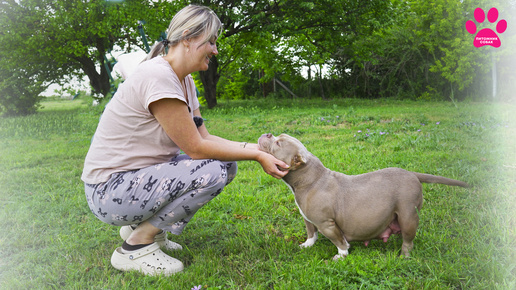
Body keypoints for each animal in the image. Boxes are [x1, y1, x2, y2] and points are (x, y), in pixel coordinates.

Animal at [256, 134, 468, 260]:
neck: (310, 177)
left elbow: (339, 241)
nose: (268, 134)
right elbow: (311, 232)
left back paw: (403, 256)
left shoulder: (327, 224)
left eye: (278, 143)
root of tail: (412, 173)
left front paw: (341, 255)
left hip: (408, 215)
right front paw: (307, 245)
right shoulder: (307, 217)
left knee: (408, 240)